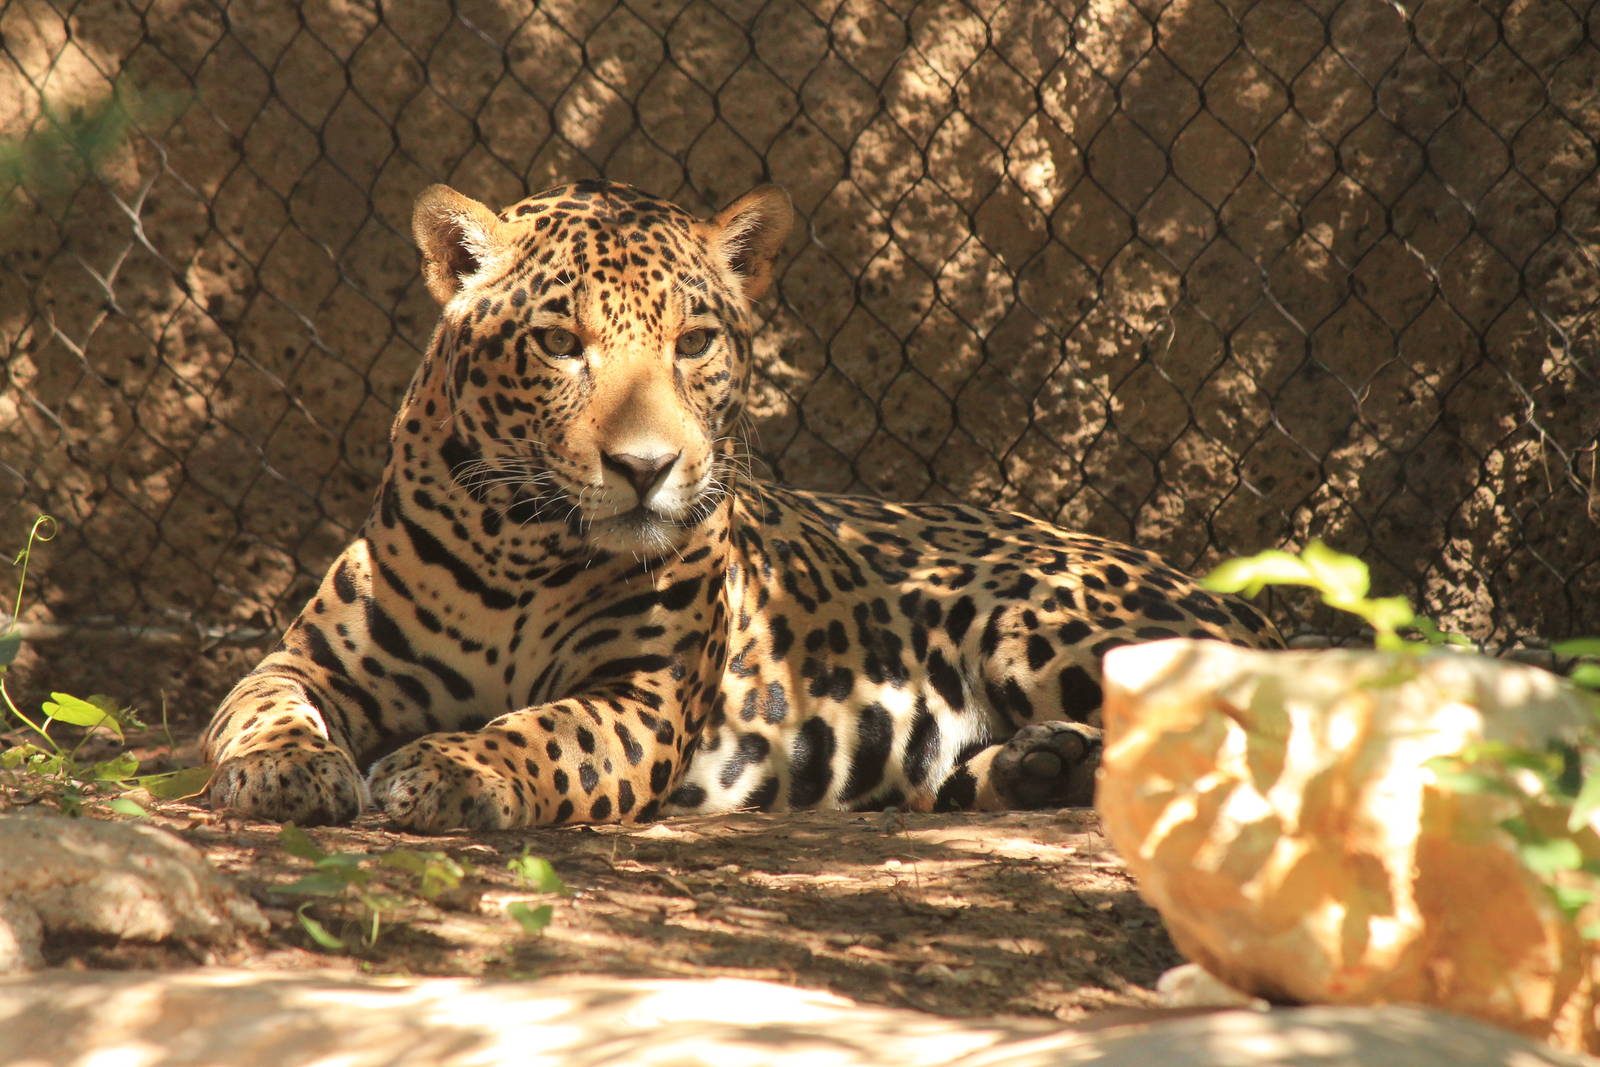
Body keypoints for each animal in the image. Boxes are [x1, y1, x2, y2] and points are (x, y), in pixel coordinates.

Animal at [203, 178, 1282, 832]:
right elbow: (258, 702)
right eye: (559, 342)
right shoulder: (311, 656)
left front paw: (453, 770)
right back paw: (1038, 766)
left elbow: (536, 729)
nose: (645, 466)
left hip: (1036, 617)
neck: (521, 545)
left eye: (694, 342)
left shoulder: (639, 696)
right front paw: (284, 765)